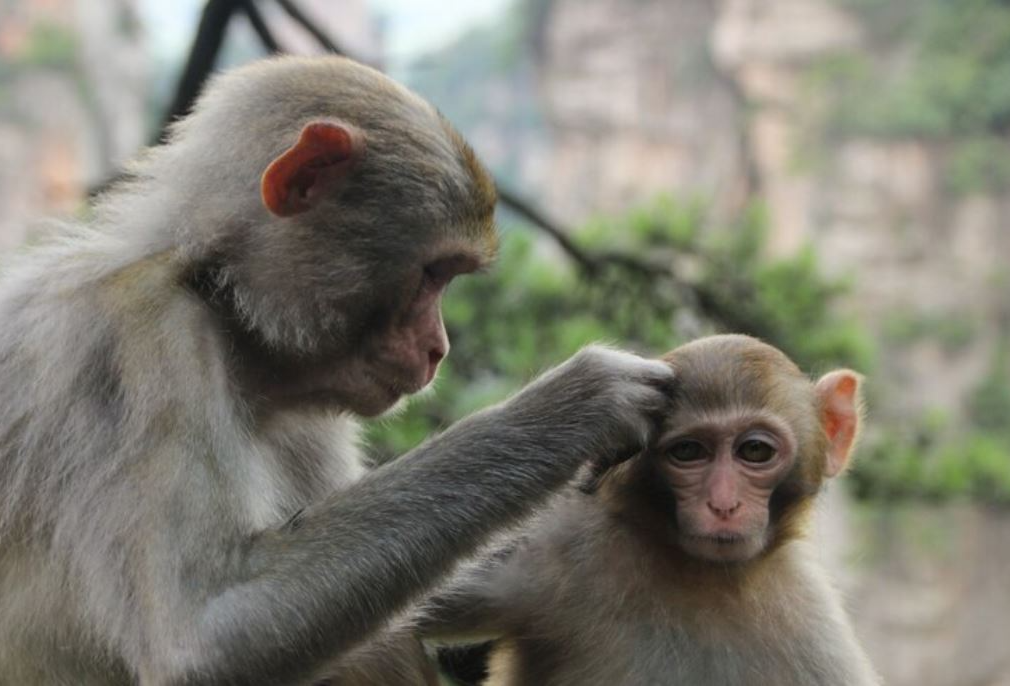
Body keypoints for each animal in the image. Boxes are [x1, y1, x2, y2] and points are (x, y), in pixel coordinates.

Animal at [1, 56, 678, 682]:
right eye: (433, 273)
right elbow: (203, 635)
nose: (438, 349)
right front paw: (578, 402)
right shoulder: (139, 337)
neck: (224, 307)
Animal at [430, 335, 880, 682]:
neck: (705, 577)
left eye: (754, 450)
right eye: (688, 451)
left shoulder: (818, 634)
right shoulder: (555, 547)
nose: (723, 504)